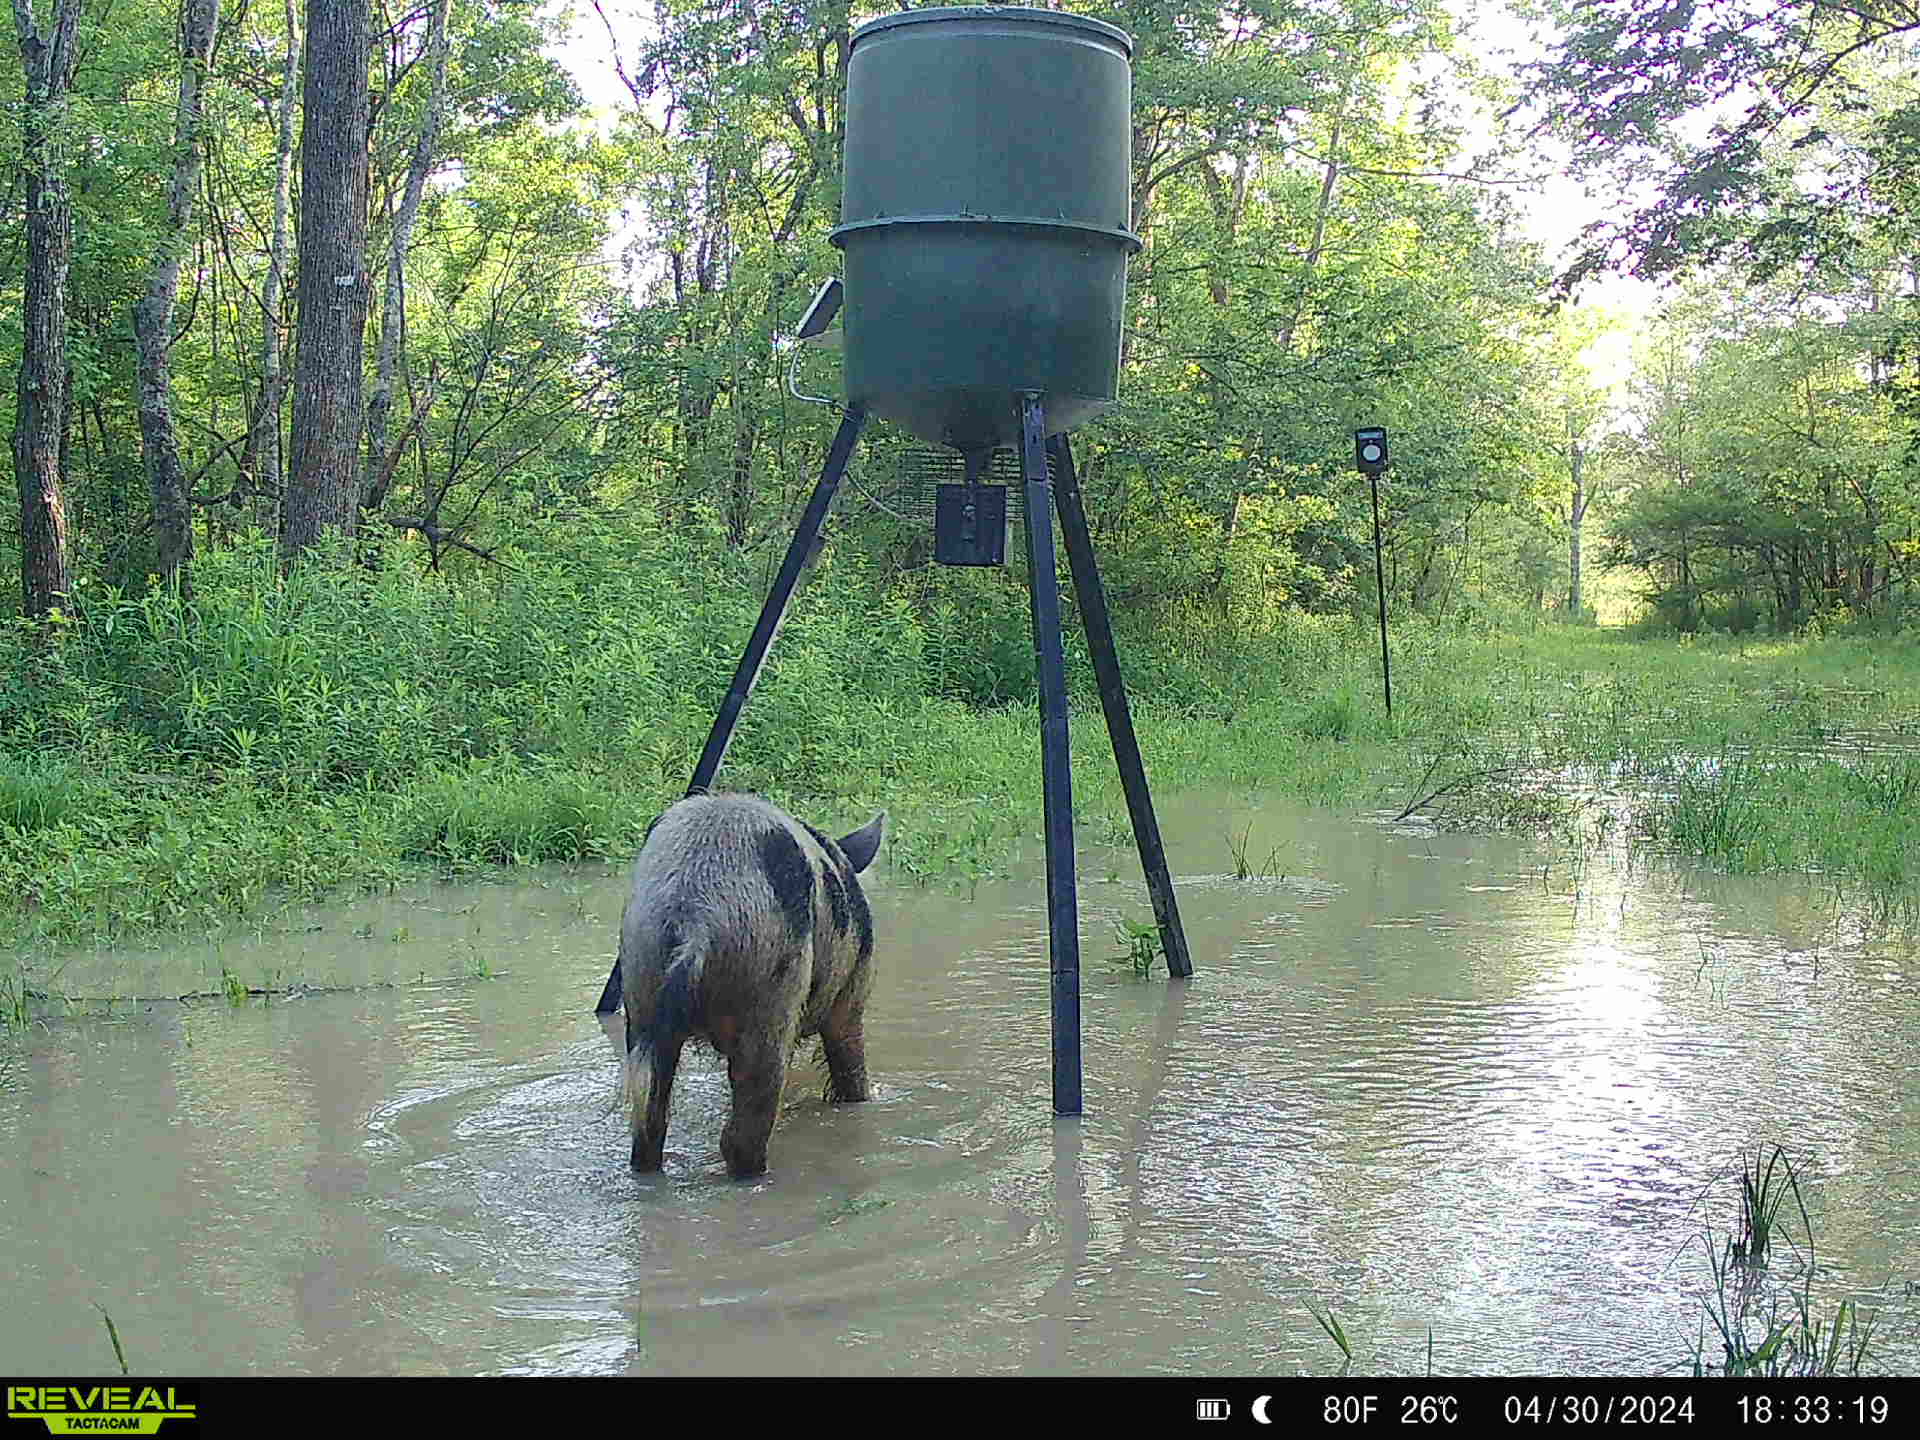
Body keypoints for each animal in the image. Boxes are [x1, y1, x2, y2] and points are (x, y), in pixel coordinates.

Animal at [619, 792, 886, 1179]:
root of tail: (696, 913)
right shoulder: (852, 992)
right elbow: (849, 1059)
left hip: (641, 978)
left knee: (649, 1121)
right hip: (773, 989)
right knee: (745, 1127)